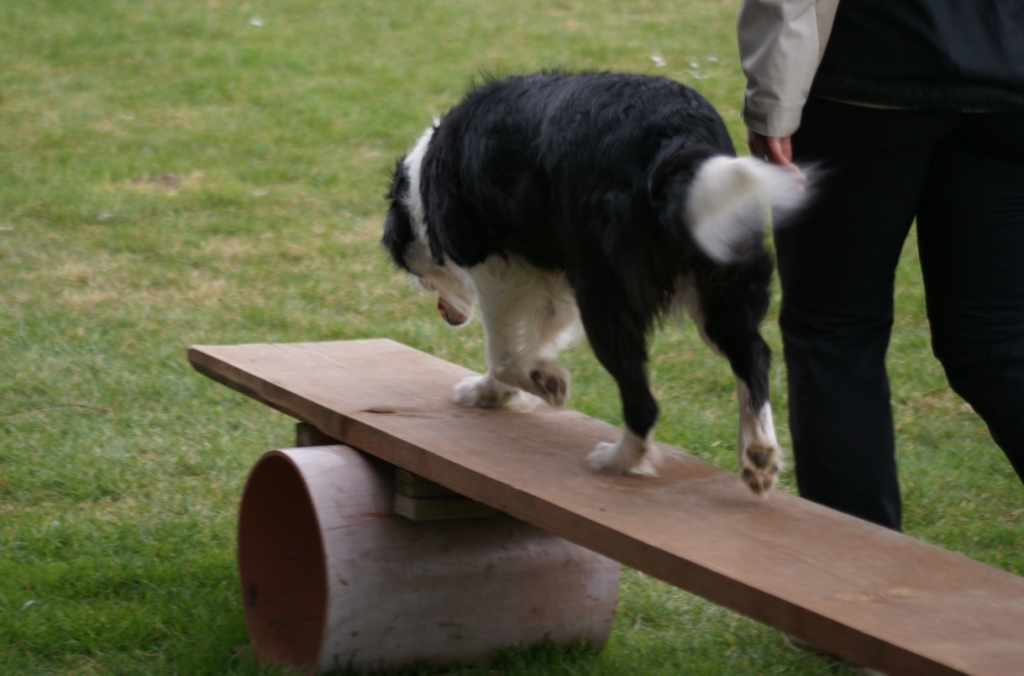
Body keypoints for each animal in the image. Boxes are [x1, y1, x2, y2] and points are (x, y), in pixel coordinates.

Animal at [382, 72, 808, 494]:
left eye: (421, 278)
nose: (446, 315)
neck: (422, 180)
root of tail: (680, 140)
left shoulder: (497, 267)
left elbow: (502, 351)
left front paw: (541, 381)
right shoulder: (553, 278)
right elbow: (534, 337)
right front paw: (498, 390)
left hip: (607, 293)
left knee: (643, 401)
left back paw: (619, 460)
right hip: (720, 277)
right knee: (753, 354)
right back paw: (758, 456)